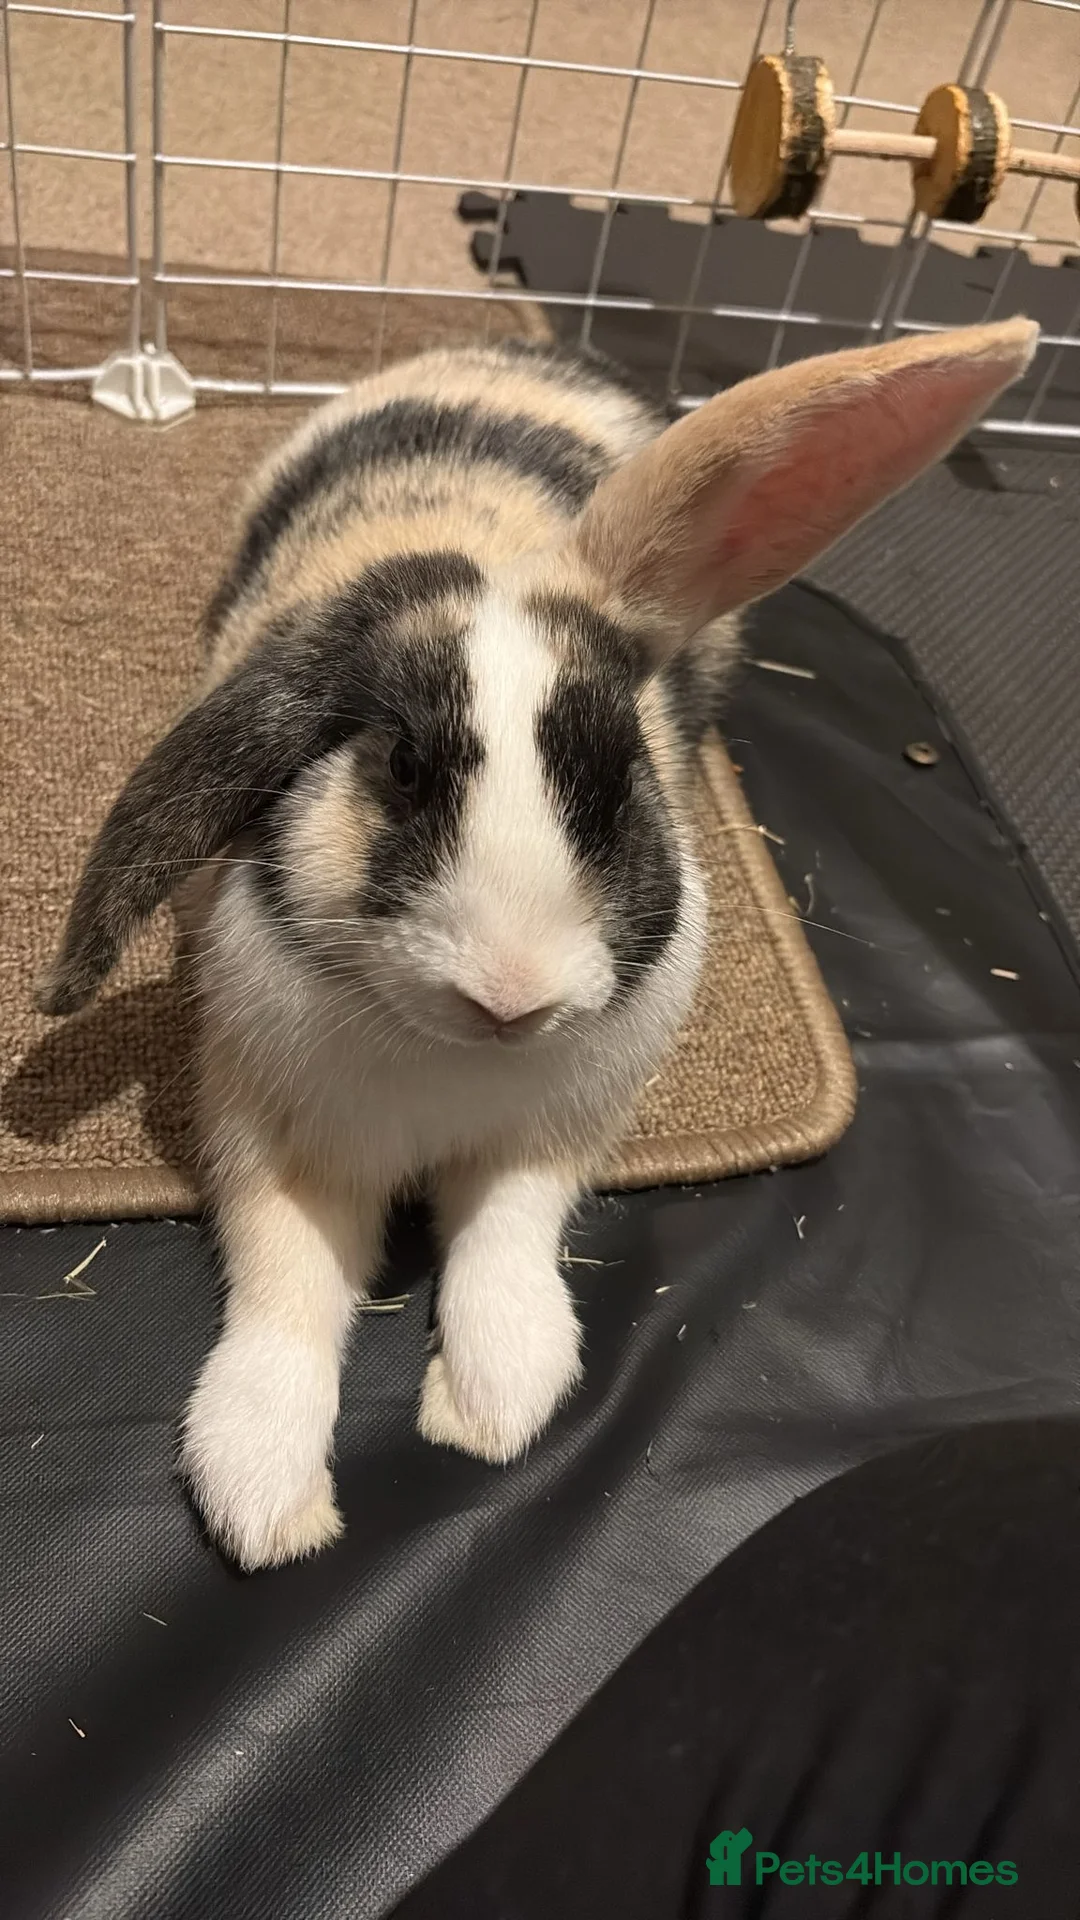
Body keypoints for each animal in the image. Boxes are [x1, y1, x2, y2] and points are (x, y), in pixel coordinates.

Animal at [37, 318, 1036, 1569]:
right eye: (401, 764)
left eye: (621, 778)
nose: (511, 997)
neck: (457, 1062)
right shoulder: (274, 1136)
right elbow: (288, 1283)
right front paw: (261, 1499)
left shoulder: (555, 1135)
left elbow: (508, 1239)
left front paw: (495, 1402)